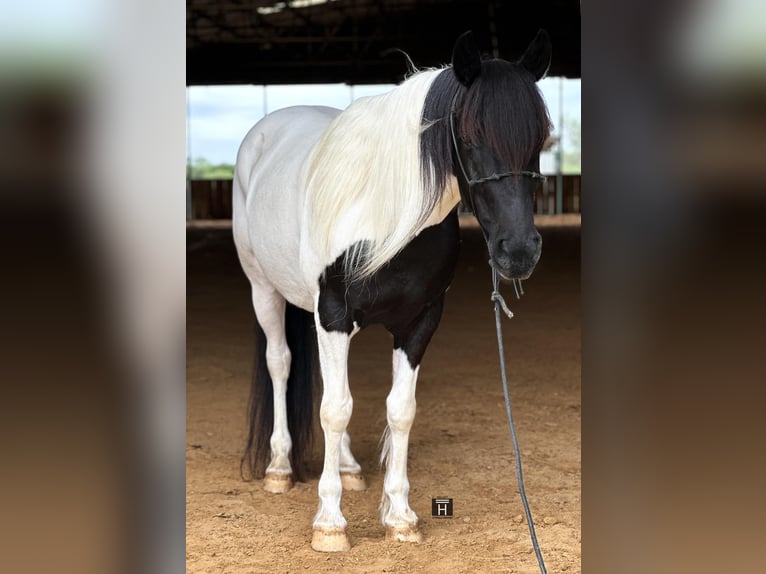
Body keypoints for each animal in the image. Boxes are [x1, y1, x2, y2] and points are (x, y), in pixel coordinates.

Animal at [232, 30, 552, 552]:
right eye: (470, 136)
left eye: (539, 138)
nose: (519, 251)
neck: (382, 212)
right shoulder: (334, 313)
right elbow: (335, 409)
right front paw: (330, 523)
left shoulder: (419, 321)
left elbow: (398, 410)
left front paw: (400, 516)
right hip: (265, 290)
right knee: (281, 364)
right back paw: (279, 467)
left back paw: (347, 466)